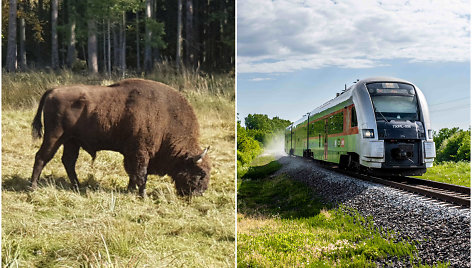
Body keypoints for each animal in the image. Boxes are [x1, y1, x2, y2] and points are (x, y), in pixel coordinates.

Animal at [30, 77, 211, 197]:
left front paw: (131, 190)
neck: (167, 117)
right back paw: (33, 187)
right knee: (41, 157)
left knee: (68, 161)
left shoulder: (133, 154)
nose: (199, 193)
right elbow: (141, 174)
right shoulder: (140, 152)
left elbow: (133, 174)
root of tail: (53, 90)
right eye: (200, 173)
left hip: (72, 141)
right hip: (55, 137)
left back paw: (77, 186)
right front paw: (143, 195)